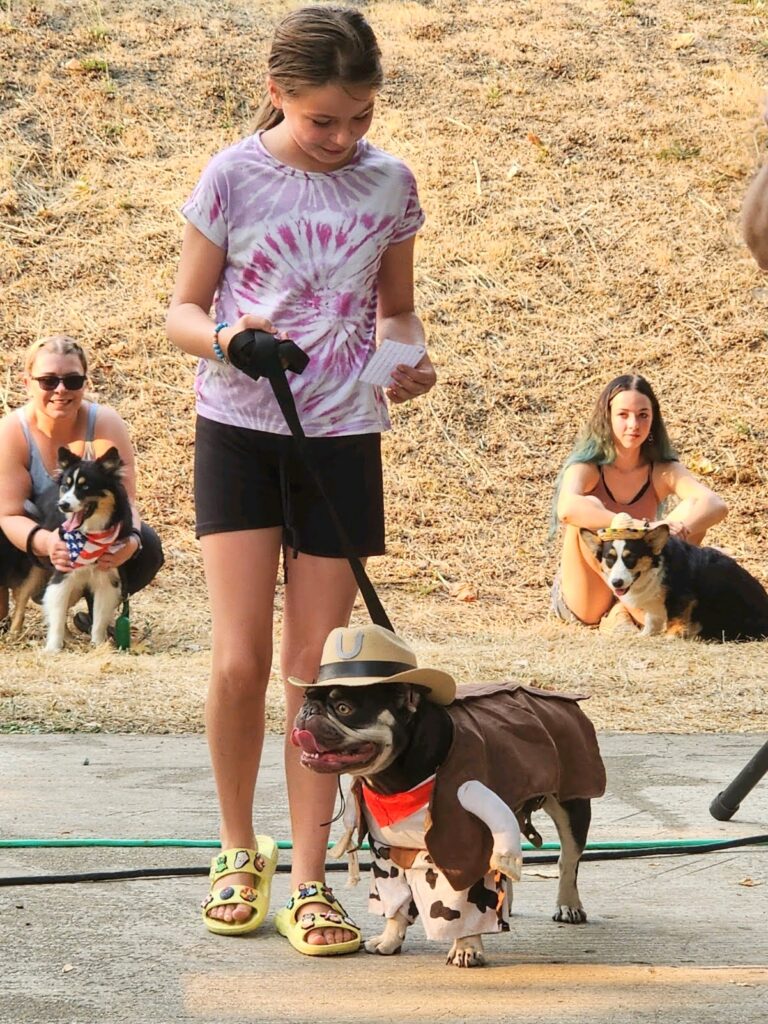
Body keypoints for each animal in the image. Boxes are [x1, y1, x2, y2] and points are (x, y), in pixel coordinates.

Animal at [42, 444, 132, 651]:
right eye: (66, 486)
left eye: (85, 487)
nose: (63, 505)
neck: (89, 535)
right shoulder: (63, 572)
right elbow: (57, 614)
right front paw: (53, 648)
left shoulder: (108, 578)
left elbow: (99, 617)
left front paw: (98, 644)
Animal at [288, 630, 606, 966]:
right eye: (307, 700)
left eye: (344, 708)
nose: (307, 712)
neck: (395, 775)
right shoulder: (387, 850)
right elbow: (396, 900)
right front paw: (390, 939)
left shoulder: (464, 845)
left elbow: (463, 905)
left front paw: (466, 948)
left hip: (572, 802)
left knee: (568, 859)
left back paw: (568, 904)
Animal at [581, 528, 768, 638]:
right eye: (609, 559)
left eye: (631, 558)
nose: (616, 583)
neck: (657, 568)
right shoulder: (654, 607)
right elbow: (651, 621)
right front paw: (644, 635)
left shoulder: (681, 597)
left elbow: (675, 619)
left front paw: (670, 637)